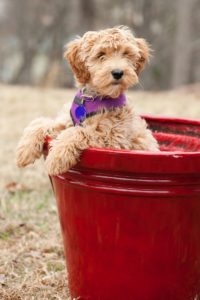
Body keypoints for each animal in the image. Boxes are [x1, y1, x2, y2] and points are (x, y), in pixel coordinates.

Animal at [16, 27, 159, 176]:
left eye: (126, 53)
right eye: (101, 54)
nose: (118, 73)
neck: (94, 98)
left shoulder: (114, 141)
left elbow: (78, 132)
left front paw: (56, 157)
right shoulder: (66, 121)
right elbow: (41, 123)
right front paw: (24, 151)